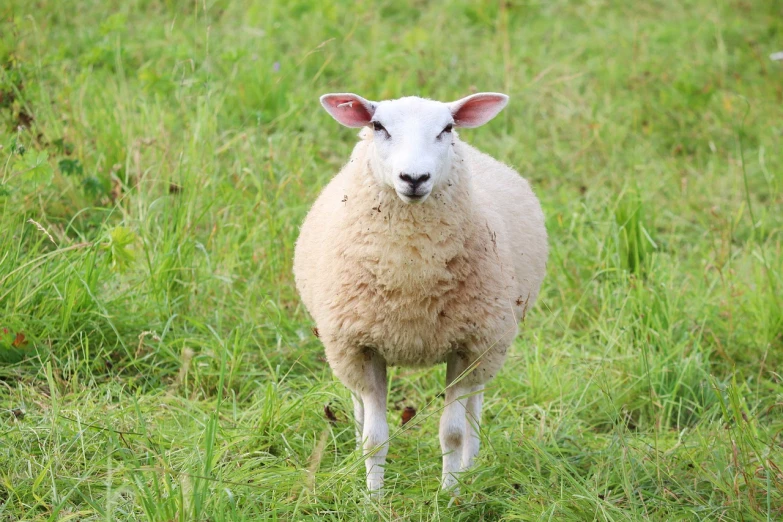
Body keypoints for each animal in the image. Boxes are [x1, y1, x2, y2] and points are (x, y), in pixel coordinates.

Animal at [290, 91, 548, 490]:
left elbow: (452, 433)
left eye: (447, 128)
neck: (410, 275)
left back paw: (471, 467)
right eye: (378, 126)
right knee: (359, 407)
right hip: (343, 349)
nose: (414, 178)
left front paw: (450, 493)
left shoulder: (468, 346)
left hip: (490, 345)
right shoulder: (360, 346)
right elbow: (375, 437)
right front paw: (373, 495)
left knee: (474, 410)